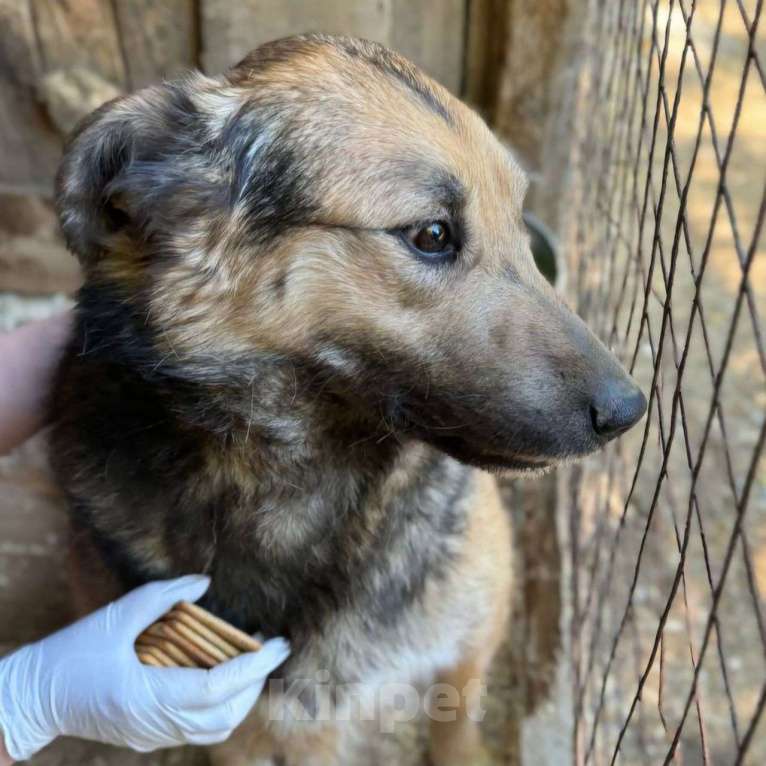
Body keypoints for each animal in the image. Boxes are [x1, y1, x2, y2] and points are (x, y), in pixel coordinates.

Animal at [48, 33, 648, 764]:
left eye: (518, 226)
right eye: (432, 235)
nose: (627, 411)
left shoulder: (473, 621)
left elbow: (458, 708)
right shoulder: (256, 724)